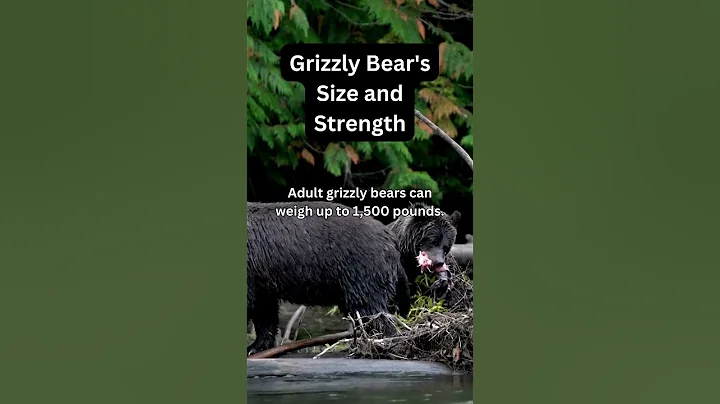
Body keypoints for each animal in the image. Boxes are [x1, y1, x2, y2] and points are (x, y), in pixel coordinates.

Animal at [247, 201, 411, 355]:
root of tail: (391, 238)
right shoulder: (260, 280)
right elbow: (264, 312)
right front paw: (255, 347)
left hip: (362, 271)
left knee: (370, 310)